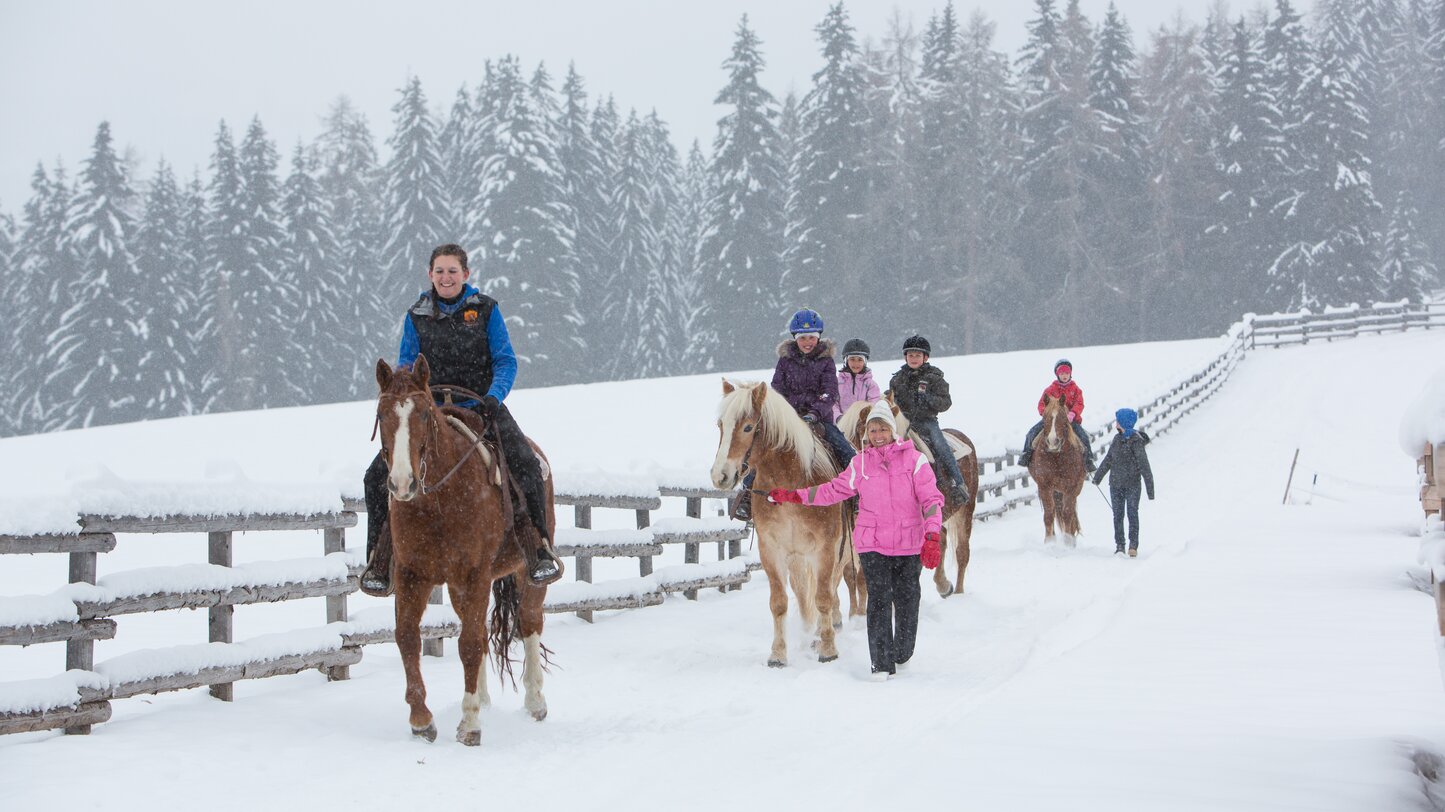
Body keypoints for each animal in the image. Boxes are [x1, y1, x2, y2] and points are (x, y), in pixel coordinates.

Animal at [372, 356, 551, 745]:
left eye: (425, 413)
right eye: (381, 413)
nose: (403, 483)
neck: (438, 501)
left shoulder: (476, 574)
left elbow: (468, 644)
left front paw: (469, 724)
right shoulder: (413, 574)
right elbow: (407, 637)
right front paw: (422, 719)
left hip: (525, 574)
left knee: (529, 623)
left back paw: (535, 702)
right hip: (457, 588)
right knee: (482, 632)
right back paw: (483, 699)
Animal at [708, 378, 855, 664]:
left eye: (748, 427)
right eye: (721, 425)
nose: (720, 476)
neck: (791, 484)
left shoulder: (825, 549)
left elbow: (823, 597)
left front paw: (828, 649)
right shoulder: (772, 550)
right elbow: (779, 602)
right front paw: (777, 654)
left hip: (839, 550)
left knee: (831, 588)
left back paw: (824, 630)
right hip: (797, 556)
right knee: (802, 590)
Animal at [1028, 392, 1086, 543]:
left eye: (1063, 417)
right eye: (1045, 417)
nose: (1053, 442)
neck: (1057, 457)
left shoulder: (1071, 487)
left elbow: (1067, 514)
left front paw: (1068, 542)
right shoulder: (1044, 486)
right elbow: (1049, 514)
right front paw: (1049, 542)